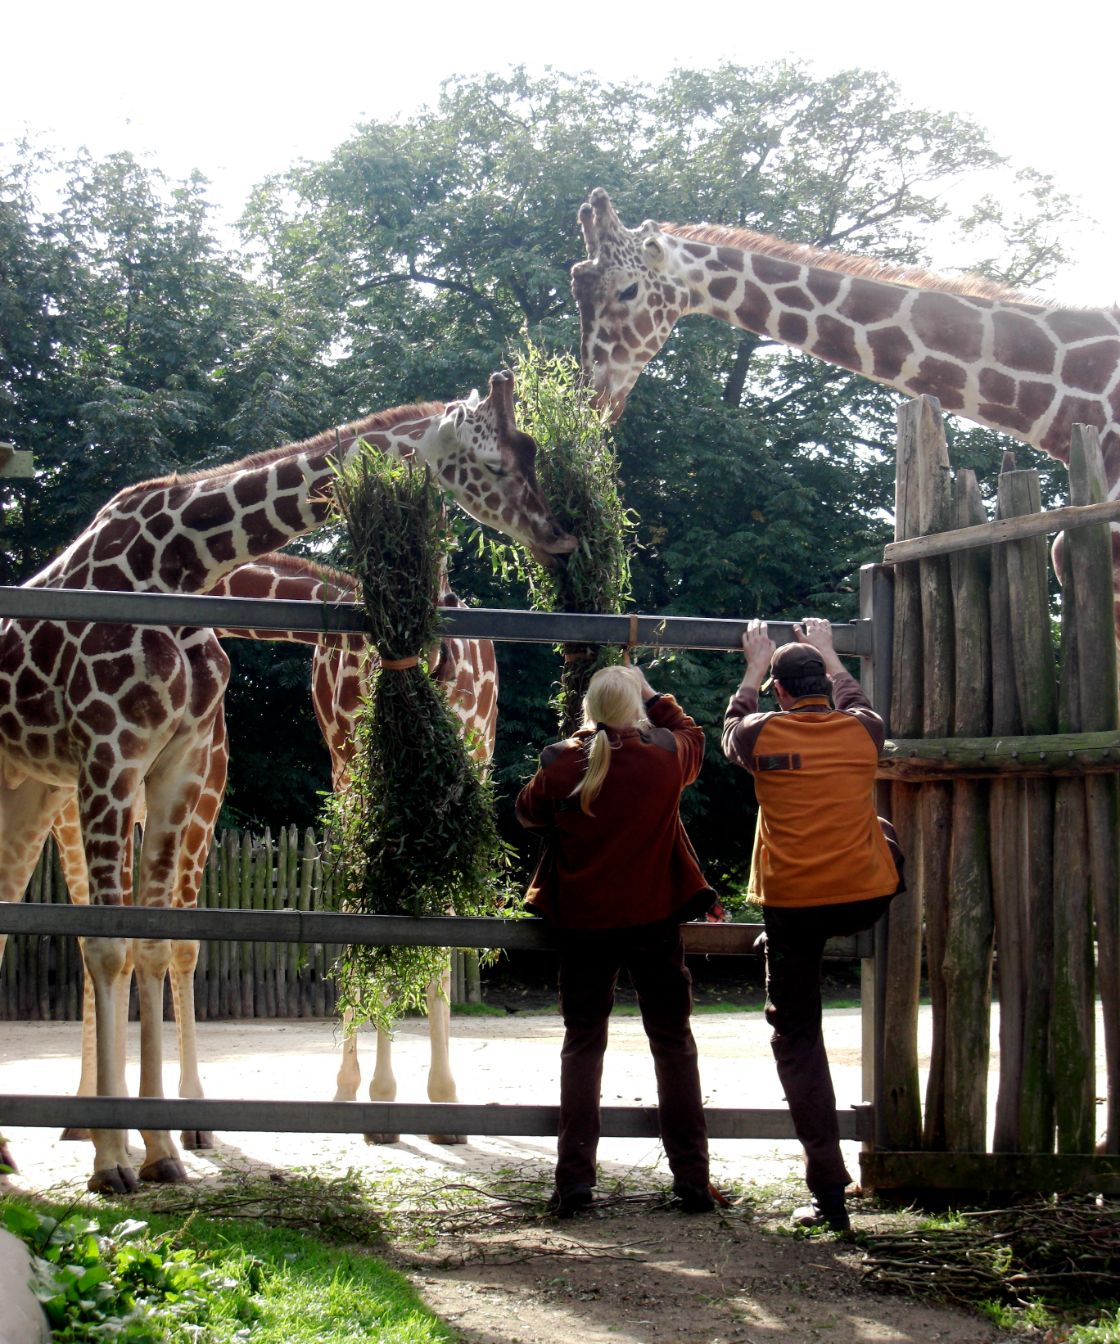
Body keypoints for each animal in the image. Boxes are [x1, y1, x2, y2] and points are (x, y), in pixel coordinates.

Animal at [0, 369, 573, 1193]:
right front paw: (123, 1155)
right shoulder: (118, 757)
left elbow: (158, 941)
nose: (562, 534)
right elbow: (122, 944)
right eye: (498, 462)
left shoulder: (179, 773)